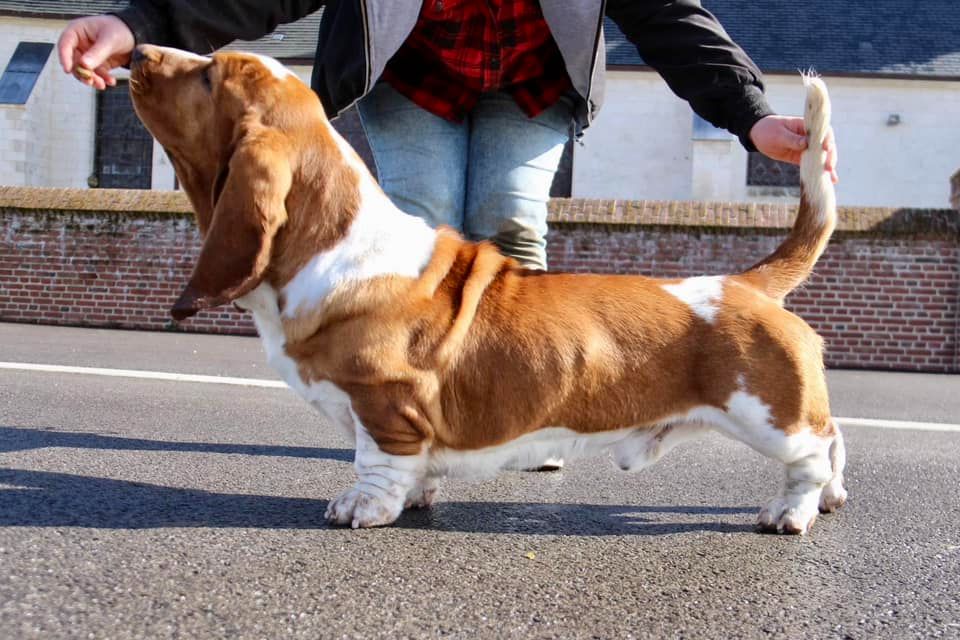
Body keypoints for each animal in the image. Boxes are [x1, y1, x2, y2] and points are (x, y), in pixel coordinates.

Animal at [129, 45, 848, 532]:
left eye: (209, 77)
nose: (137, 50)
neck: (335, 243)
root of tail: (744, 283)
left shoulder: (382, 401)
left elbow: (376, 461)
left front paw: (362, 507)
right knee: (834, 438)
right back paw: (834, 497)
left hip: (765, 416)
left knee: (813, 452)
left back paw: (791, 512)